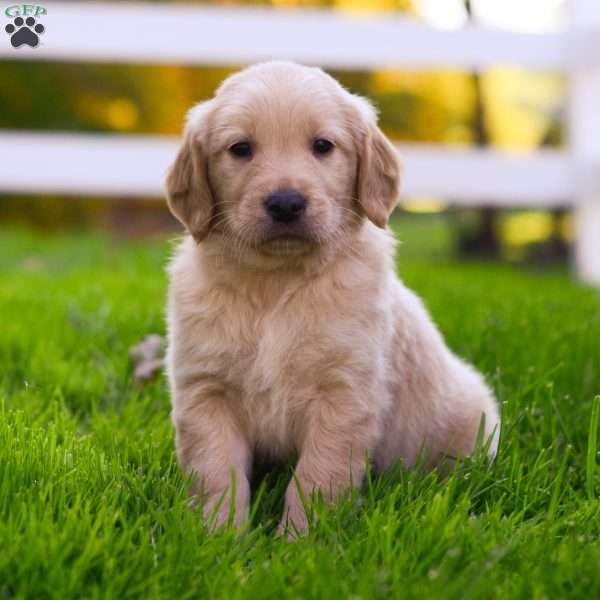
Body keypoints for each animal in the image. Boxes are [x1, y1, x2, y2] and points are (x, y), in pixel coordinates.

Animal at [165, 61, 502, 536]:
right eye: (240, 149)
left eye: (323, 146)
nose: (286, 203)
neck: (276, 284)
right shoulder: (206, 390)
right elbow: (216, 471)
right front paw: (217, 537)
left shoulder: (345, 394)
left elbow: (317, 476)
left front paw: (299, 542)